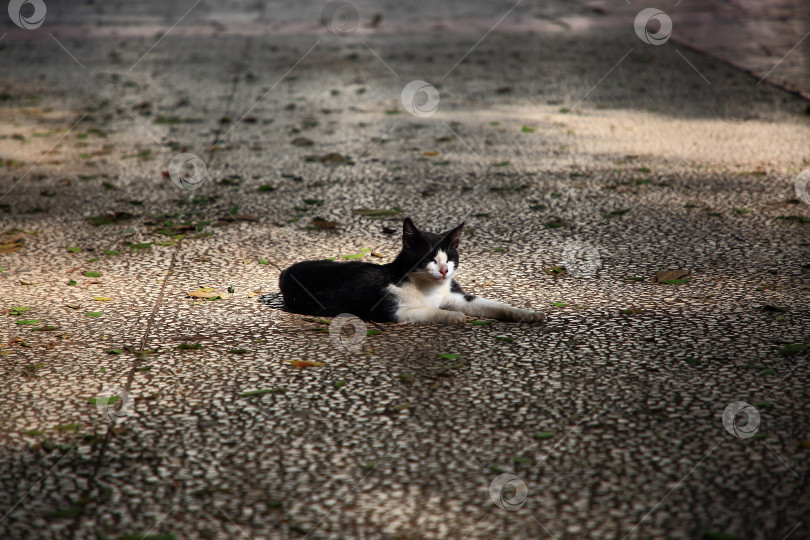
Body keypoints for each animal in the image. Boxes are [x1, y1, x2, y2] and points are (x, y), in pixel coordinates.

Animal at [276, 217, 544, 322]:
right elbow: (427, 311)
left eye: (450, 258)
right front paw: (453, 316)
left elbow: (491, 304)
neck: (429, 287)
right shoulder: (388, 310)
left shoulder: (456, 295)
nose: (445, 271)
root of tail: (286, 270)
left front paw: (528, 314)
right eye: (430, 259)